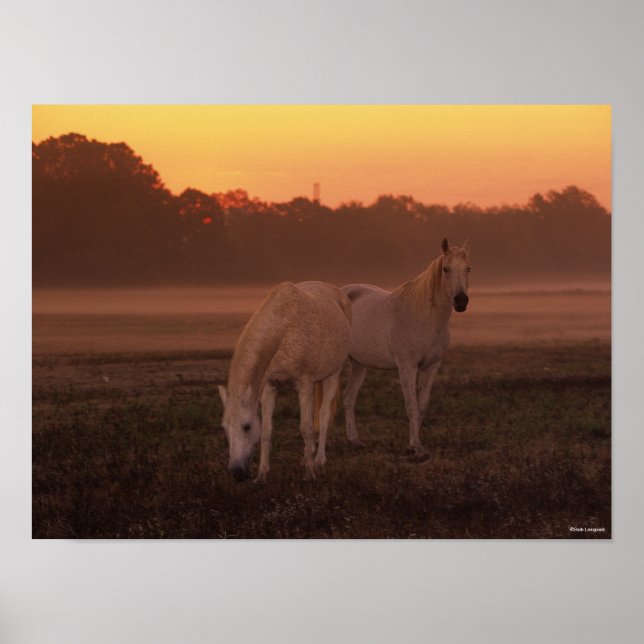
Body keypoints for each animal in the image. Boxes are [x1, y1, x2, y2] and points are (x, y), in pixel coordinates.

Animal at [218, 281, 351, 483]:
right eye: (224, 428)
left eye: (246, 426)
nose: (236, 472)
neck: (284, 329)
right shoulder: (270, 386)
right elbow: (266, 431)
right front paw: (262, 474)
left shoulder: (304, 384)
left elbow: (305, 428)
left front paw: (310, 473)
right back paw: (307, 456)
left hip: (333, 374)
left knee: (323, 414)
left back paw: (319, 460)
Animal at [341, 238, 471, 456]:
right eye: (445, 269)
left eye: (468, 268)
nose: (461, 301)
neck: (424, 318)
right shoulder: (407, 367)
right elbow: (411, 406)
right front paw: (417, 448)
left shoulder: (432, 367)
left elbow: (422, 405)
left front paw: (415, 444)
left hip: (359, 364)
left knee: (348, 399)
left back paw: (355, 441)